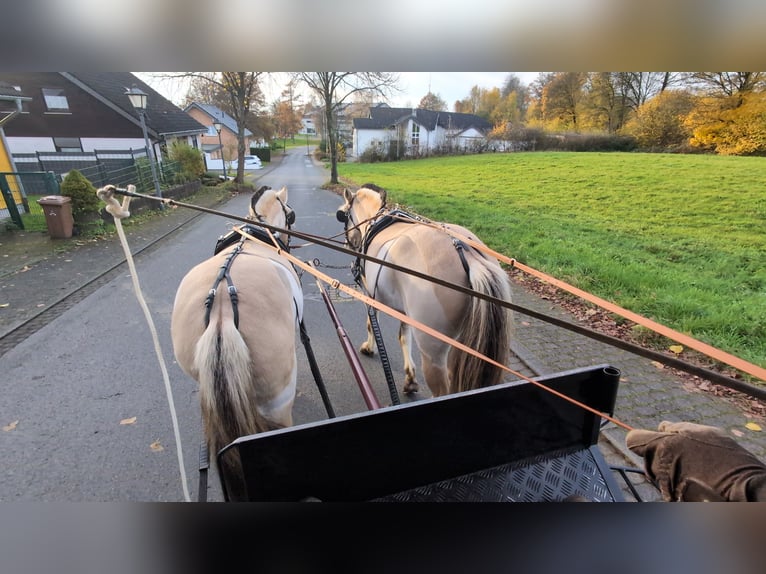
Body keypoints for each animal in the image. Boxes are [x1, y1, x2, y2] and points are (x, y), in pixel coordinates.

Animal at [338, 184, 512, 400]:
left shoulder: (371, 296)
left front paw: (369, 348)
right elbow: (404, 336)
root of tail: (469, 256)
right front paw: (410, 380)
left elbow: (371, 323)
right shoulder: (405, 311)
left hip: (432, 352)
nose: (348, 243)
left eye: (343, 215)